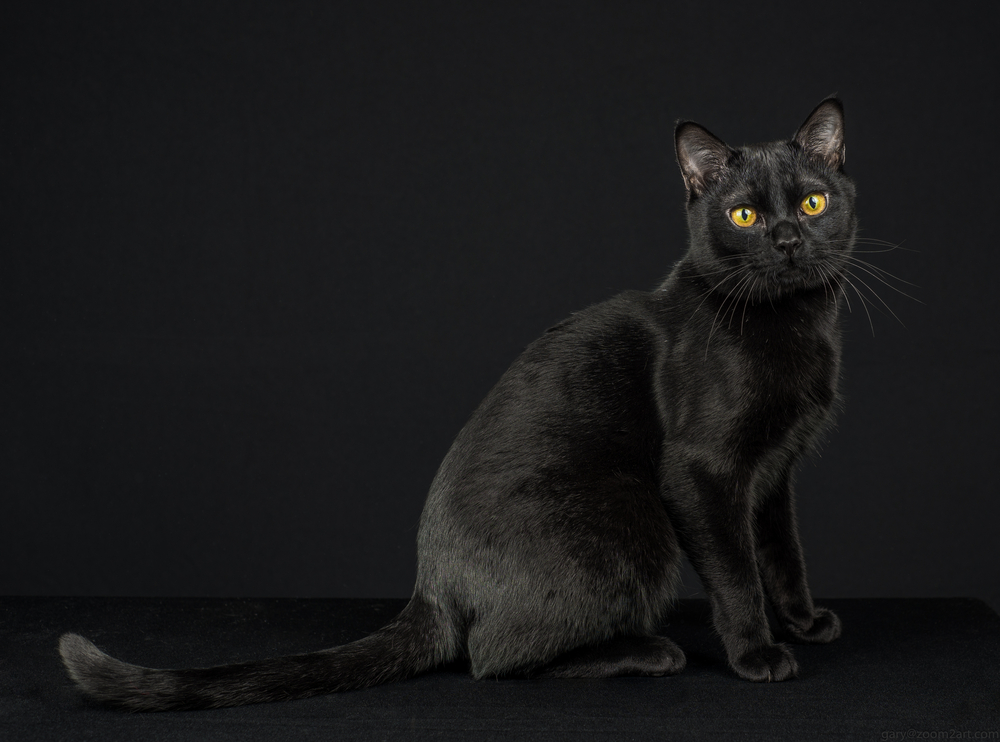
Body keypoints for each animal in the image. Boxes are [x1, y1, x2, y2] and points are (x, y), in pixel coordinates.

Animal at [62, 97, 856, 708]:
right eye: (744, 215)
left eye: (814, 202)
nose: (788, 237)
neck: (792, 325)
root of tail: (432, 587)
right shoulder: (703, 473)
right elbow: (736, 572)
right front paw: (757, 656)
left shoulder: (772, 474)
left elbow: (781, 553)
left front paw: (804, 622)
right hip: (633, 523)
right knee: (491, 656)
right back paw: (649, 650)